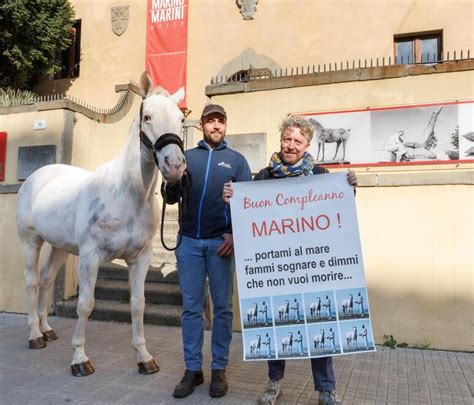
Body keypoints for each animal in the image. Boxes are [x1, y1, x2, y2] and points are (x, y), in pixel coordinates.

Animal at [15, 71, 185, 378]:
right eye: (147, 117)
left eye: (180, 118)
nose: (175, 165)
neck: (127, 196)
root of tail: (37, 176)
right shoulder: (90, 257)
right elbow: (85, 305)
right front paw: (79, 359)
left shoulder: (140, 258)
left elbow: (138, 304)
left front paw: (144, 358)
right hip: (30, 241)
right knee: (31, 281)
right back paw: (35, 335)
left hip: (60, 248)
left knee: (46, 279)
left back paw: (47, 330)